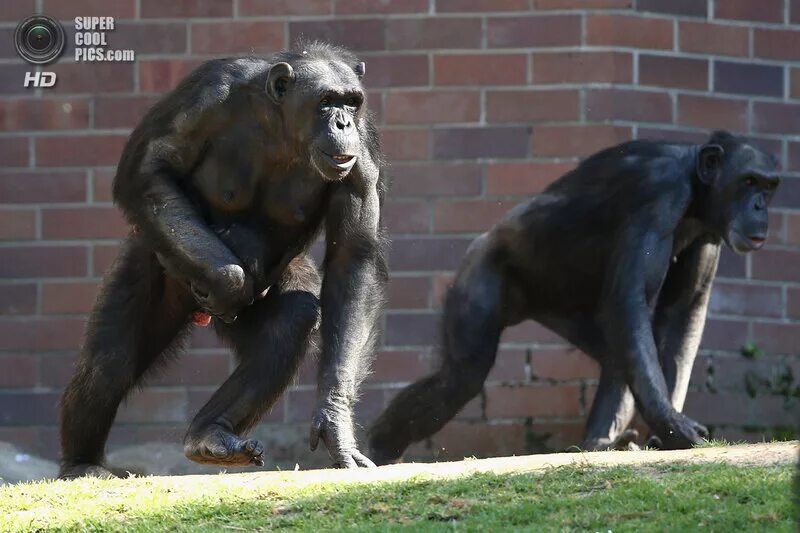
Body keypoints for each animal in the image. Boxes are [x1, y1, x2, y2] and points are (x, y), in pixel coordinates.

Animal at [59, 39, 388, 476]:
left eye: (351, 102)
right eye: (325, 102)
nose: (342, 123)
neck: (282, 126)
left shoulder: (362, 147)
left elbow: (353, 258)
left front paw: (336, 423)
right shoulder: (206, 95)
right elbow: (150, 168)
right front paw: (227, 279)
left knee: (292, 318)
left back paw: (210, 433)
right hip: (154, 257)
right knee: (107, 367)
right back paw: (80, 464)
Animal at [368, 129, 780, 462]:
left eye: (769, 186)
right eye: (748, 181)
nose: (761, 206)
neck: (695, 189)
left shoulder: (708, 234)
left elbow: (683, 312)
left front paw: (663, 432)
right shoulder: (658, 191)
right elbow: (630, 301)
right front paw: (673, 425)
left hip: (564, 307)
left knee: (617, 356)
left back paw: (601, 442)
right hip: (479, 275)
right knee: (459, 376)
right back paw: (376, 447)